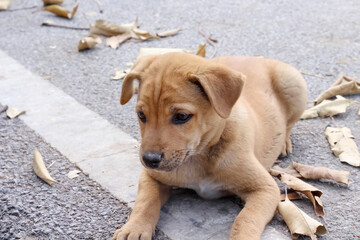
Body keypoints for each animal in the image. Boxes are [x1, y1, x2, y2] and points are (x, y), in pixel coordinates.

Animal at [112, 53, 306, 240]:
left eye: (182, 116)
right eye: (141, 115)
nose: (149, 160)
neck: (199, 157)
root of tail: (256, 58)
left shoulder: (265, 188)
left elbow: (245, 219)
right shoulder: (151, 176)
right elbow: (146, 201)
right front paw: (134, 228)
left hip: (294, 84)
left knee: (289, 124)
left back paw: (284, 142)